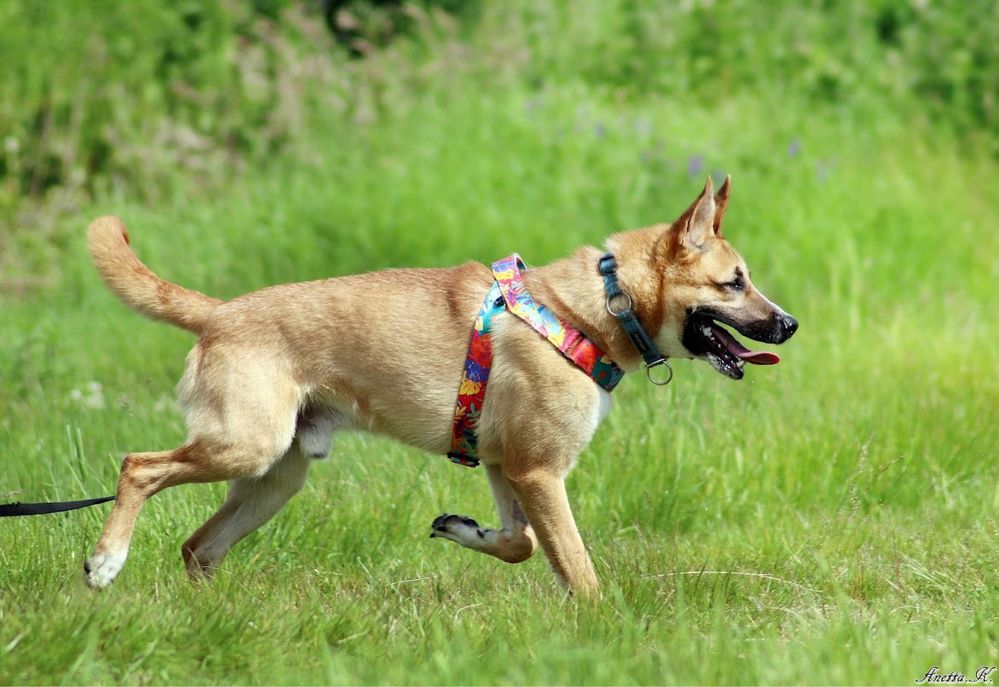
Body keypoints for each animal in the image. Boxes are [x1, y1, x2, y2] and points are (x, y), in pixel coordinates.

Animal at [80, 179, 796, 596]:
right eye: (734, 283)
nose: (788, 324)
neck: (589, 311)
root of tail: (220, 312)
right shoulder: (540, 472)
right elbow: (579, 571)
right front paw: (604, 633)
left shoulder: (509, 469)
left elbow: (519, 544)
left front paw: (461, 529)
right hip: (243, 447)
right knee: (138, 466)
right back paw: (105, 561)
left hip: (273, 477)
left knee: (197, 548)